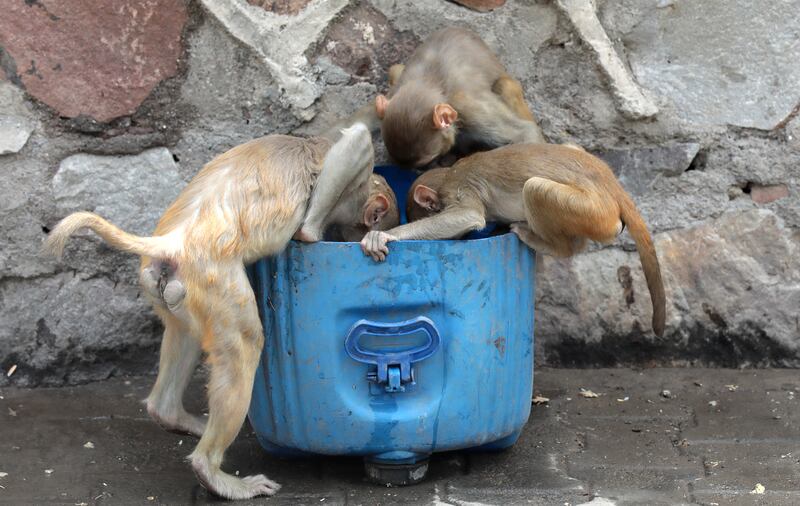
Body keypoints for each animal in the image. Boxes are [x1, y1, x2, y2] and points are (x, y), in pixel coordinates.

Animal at [43, 123, 400, 498]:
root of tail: (174, 242)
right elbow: (356, 143)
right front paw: (313, 233)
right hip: (214, 279)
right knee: (244, 342)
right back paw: (211, 471)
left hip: (170, 284)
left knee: (187, 333)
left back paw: (169, 414)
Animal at [360, 142, 664, 338]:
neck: (450, 173)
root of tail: (609, 181)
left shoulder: (459, 188)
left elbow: (469, 216)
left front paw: (387, 234)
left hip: (593, 212)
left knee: (535, 189)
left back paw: (554, 244)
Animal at [376, 27, 544, 168]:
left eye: (426, 162)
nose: (426, 169)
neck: (427, 83)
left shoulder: (467, 107)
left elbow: (525, 133)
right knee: (395, 69)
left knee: (504, 84)